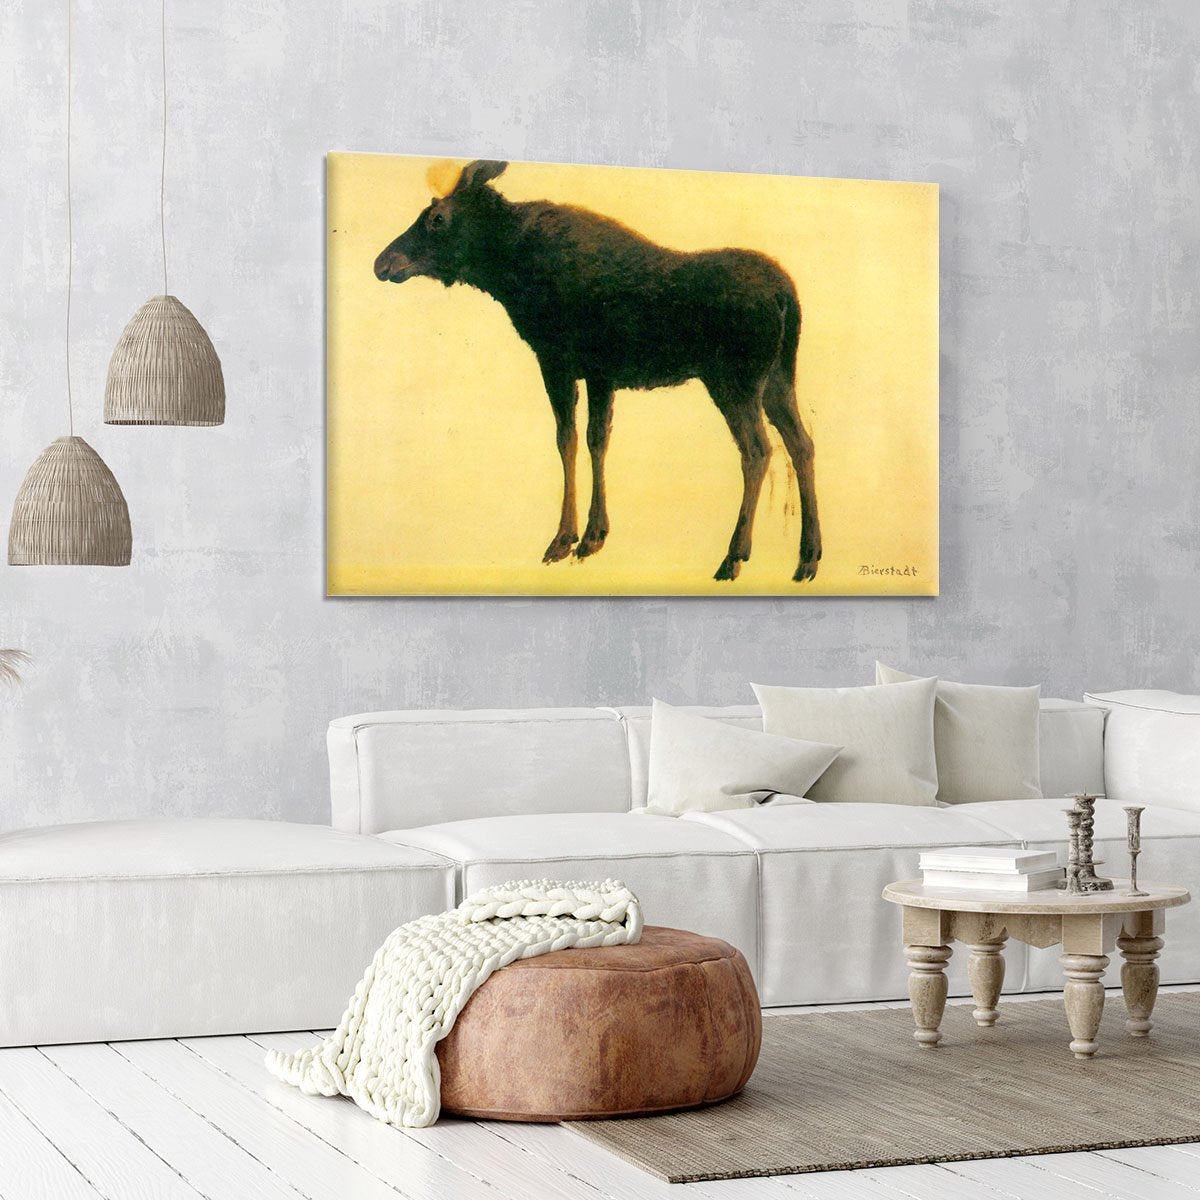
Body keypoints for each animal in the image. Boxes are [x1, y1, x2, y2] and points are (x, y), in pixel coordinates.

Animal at [373, 159, 821, 583]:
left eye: (436, 218)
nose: (382, 263)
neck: (510, 272)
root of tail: (787, 296)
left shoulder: (559, 360)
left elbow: (570, 440)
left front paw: (568, 538)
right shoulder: (598, 374)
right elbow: (594, 441)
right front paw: (592, 533)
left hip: (735, 382)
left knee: (757, 451)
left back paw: (734, 556)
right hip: (779, 379)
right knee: (801, 443)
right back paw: (808, 556)